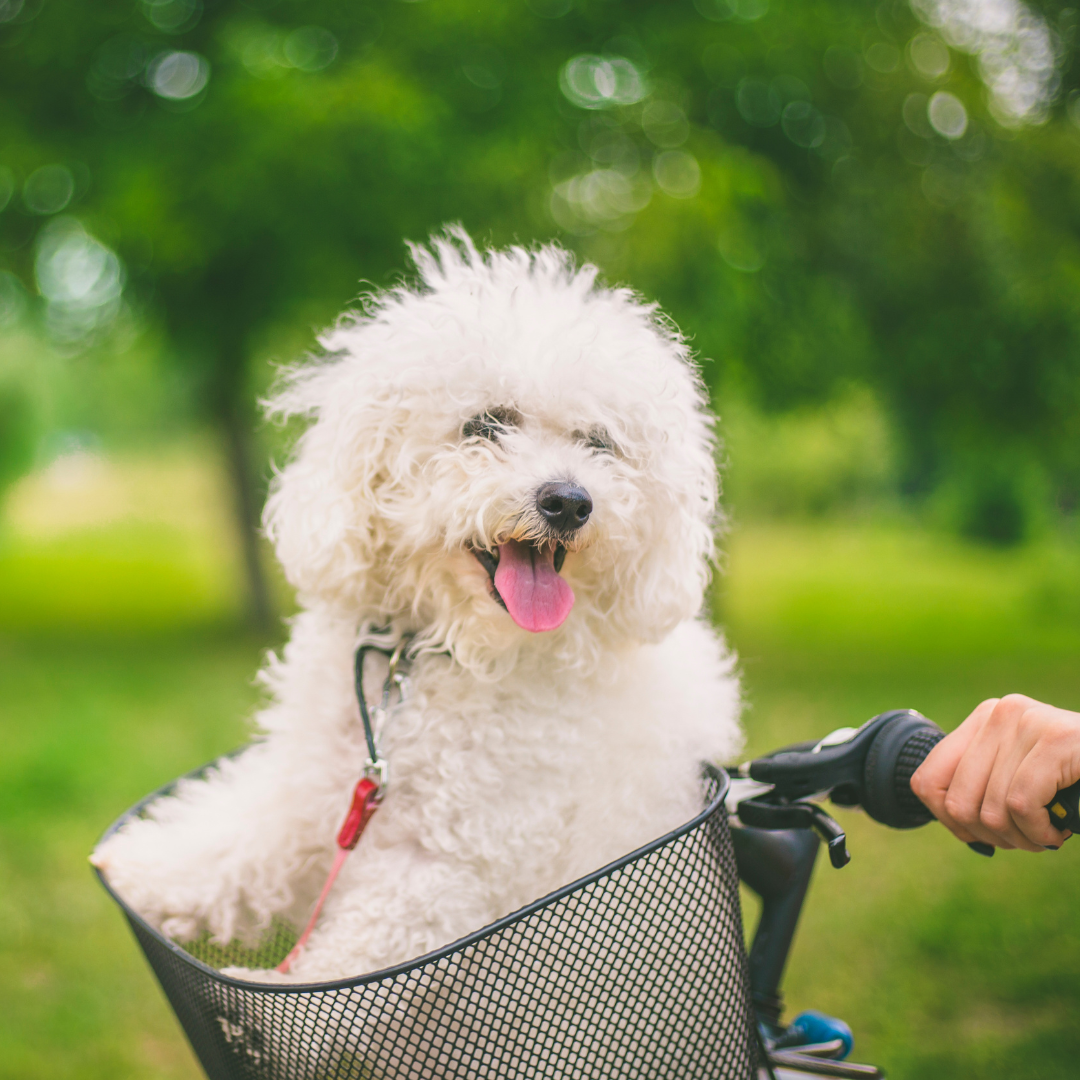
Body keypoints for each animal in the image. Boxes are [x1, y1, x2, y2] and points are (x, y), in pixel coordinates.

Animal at [90, 230, 743, 989]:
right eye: (485, 425)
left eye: (598, 442)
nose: (570, 501)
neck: (432, 658)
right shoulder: (314, 790)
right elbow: (239, 840)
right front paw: (145, 867)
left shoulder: (445, 864)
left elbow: (351, 963)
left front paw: (274, 1000)